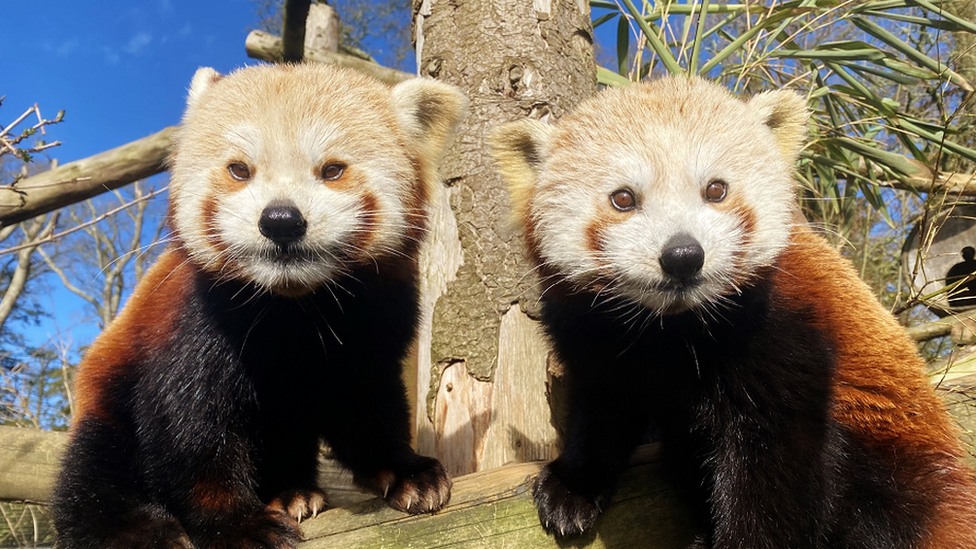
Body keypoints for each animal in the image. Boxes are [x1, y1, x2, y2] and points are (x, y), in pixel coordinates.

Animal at [51, 64, 470, 548]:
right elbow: (189, 435)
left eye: (332, 170)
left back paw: (291, 489)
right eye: (239, 170)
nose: (280, 220)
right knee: (96, 467)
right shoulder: (194, 328)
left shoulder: (372, 325)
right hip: (108, 389)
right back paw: (133, 528)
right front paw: (237, 523)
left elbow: (368, 406)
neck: (293, 307)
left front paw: (406, 470)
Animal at [492, 76, 976, 544]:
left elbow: (775, 470)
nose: (683, 255)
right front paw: (573, 484)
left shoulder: (785, 337)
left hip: (888, 459)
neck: (669, 329)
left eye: (716, 190)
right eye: (623, 198)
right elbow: (604, 405)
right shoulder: (594, 334)